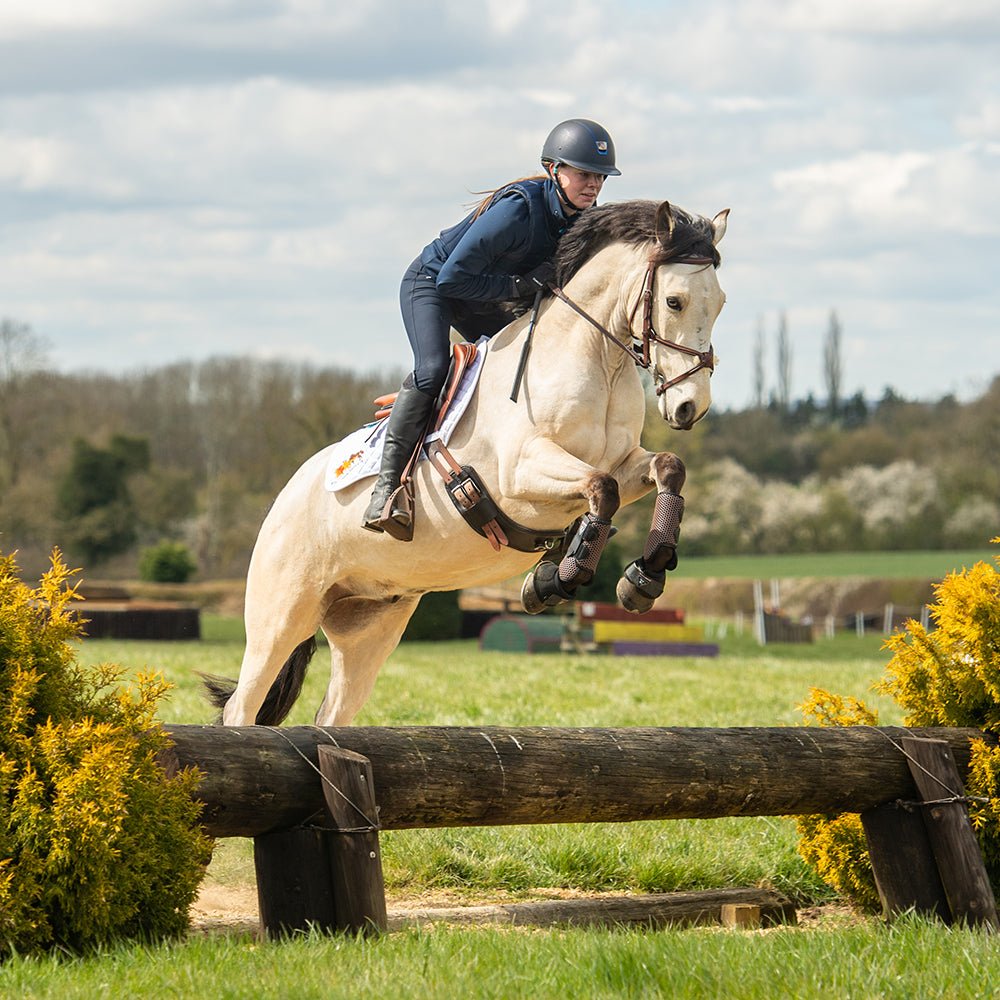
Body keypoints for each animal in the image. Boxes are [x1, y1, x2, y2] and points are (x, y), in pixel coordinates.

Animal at [207, 199, 732, 728]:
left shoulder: (626, 461)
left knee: (333, 714)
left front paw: (643, 578)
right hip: (283, 615)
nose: (691, 407)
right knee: (243, 706)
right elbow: (601, 488)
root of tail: (282, 499)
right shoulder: (520, 473)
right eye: (674, 302)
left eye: (721, 302)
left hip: (370, 624)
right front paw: (555, 579)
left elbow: (666, 469)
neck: (598, 359)